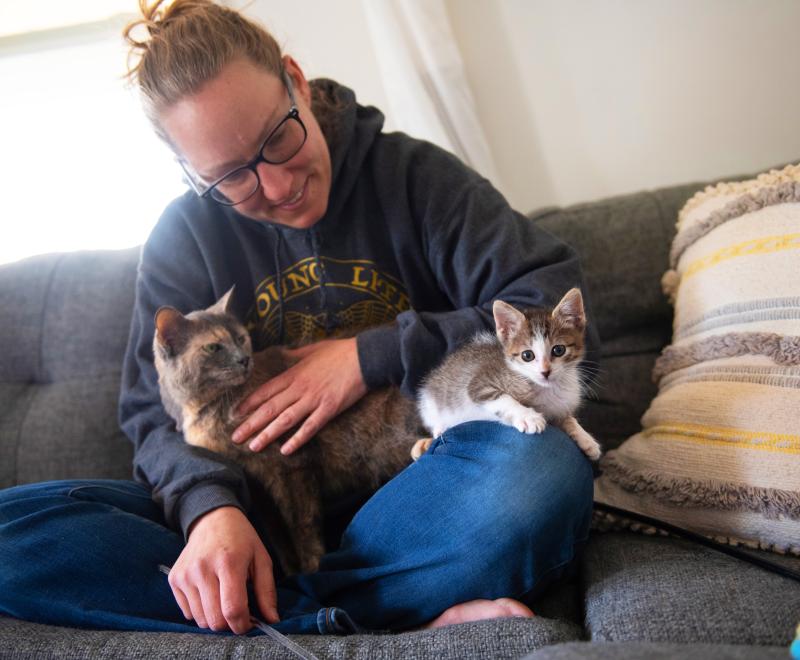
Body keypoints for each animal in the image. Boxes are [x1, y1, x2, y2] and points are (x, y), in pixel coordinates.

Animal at [152, 288, 422, 572]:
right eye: (213, 347)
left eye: (240, 338)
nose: (243, 359)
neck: (206, 409)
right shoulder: (257, 489)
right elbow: (277, 539)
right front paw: (288, 572)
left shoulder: (291, 464)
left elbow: (302, 527)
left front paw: (311, 570)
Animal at [416, 288, 596, 464]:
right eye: (527, 355)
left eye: (559, 350)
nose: (545, 372)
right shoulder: (479, 383)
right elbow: (504, 399)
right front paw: (528, 417)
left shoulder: (558, 408)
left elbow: (567, 419)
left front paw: (585, 438)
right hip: (430, 403)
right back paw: (440, 428)